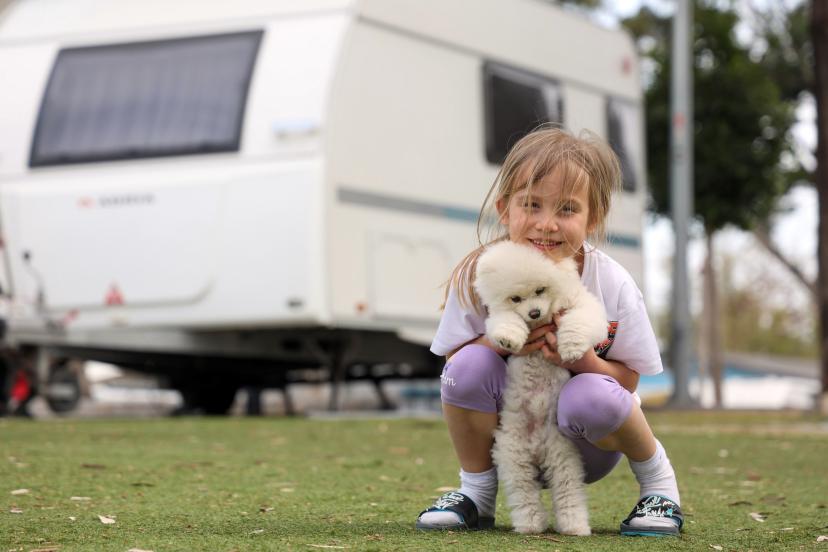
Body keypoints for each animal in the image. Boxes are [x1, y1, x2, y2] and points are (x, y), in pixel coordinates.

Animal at [474, 241, 608, 535]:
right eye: (515, 298)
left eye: (540, 290)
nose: (533, 312)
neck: (539, 322)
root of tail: (537, 447)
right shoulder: (501, 314)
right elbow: (505, 321)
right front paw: (509, 338)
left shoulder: (582, 306)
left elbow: (578, 321)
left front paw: (570, 348)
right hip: (514, 460)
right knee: (524, 494)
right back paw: (531, 524)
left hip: (563, 457)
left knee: (568, 492)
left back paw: (574, 526)